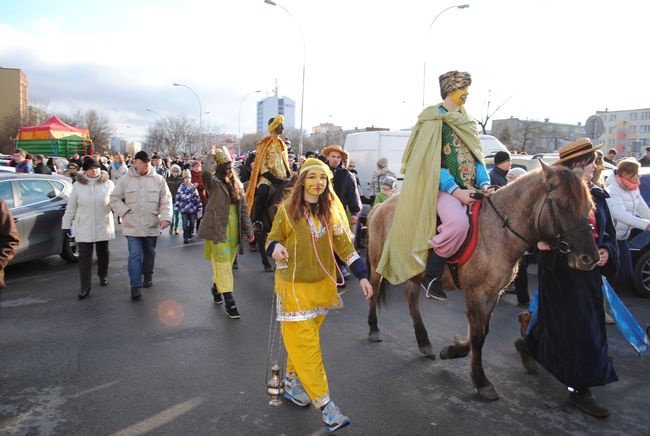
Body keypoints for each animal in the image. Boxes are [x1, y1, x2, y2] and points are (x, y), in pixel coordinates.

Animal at [364, 159, 596, 398]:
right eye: (562, 205)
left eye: (589, 207)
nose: (590, 258)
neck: (498, 232)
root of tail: (380, 207)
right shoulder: (476, 293)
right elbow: (477, 336)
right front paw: (481, 381)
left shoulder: (493, 294)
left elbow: (482, 331)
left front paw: (450, 351)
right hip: (378, 263)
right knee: (373, 290)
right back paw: (374, 329)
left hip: (414, 272)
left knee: (411, 299)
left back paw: (424, 343)